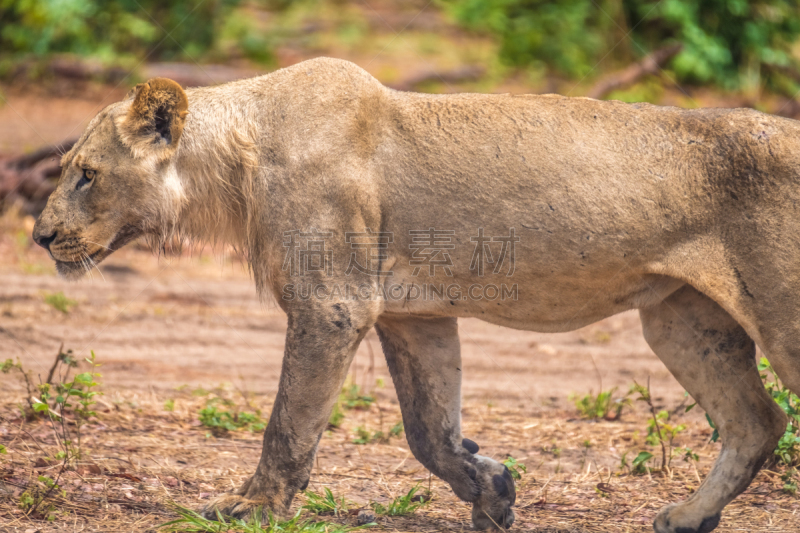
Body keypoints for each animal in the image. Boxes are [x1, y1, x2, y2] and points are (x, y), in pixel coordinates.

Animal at [32, 56, 800, 528]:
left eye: (87, 174)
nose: (39, 237)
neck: (235, 165)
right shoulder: (415, 315)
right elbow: (430, 430)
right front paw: (492, 490)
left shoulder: (333, 305)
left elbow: (288, 424)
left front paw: (253, 507)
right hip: (681, 320)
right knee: (757, 421)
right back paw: (688, 516)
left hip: (779, 319)